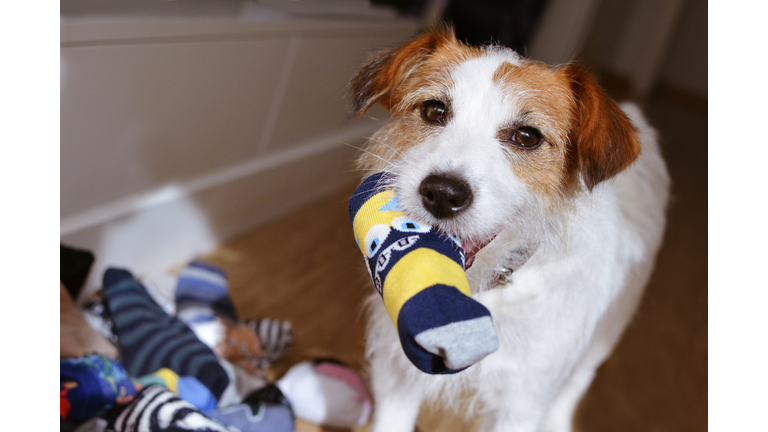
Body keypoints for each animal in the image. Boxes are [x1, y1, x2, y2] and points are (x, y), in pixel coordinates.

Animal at [350, 27, 672, 432]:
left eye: (526, 136)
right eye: (434, 111)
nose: (442, 194)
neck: (483, 291)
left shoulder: (521, 405)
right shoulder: (395, 372)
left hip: (607, 333)